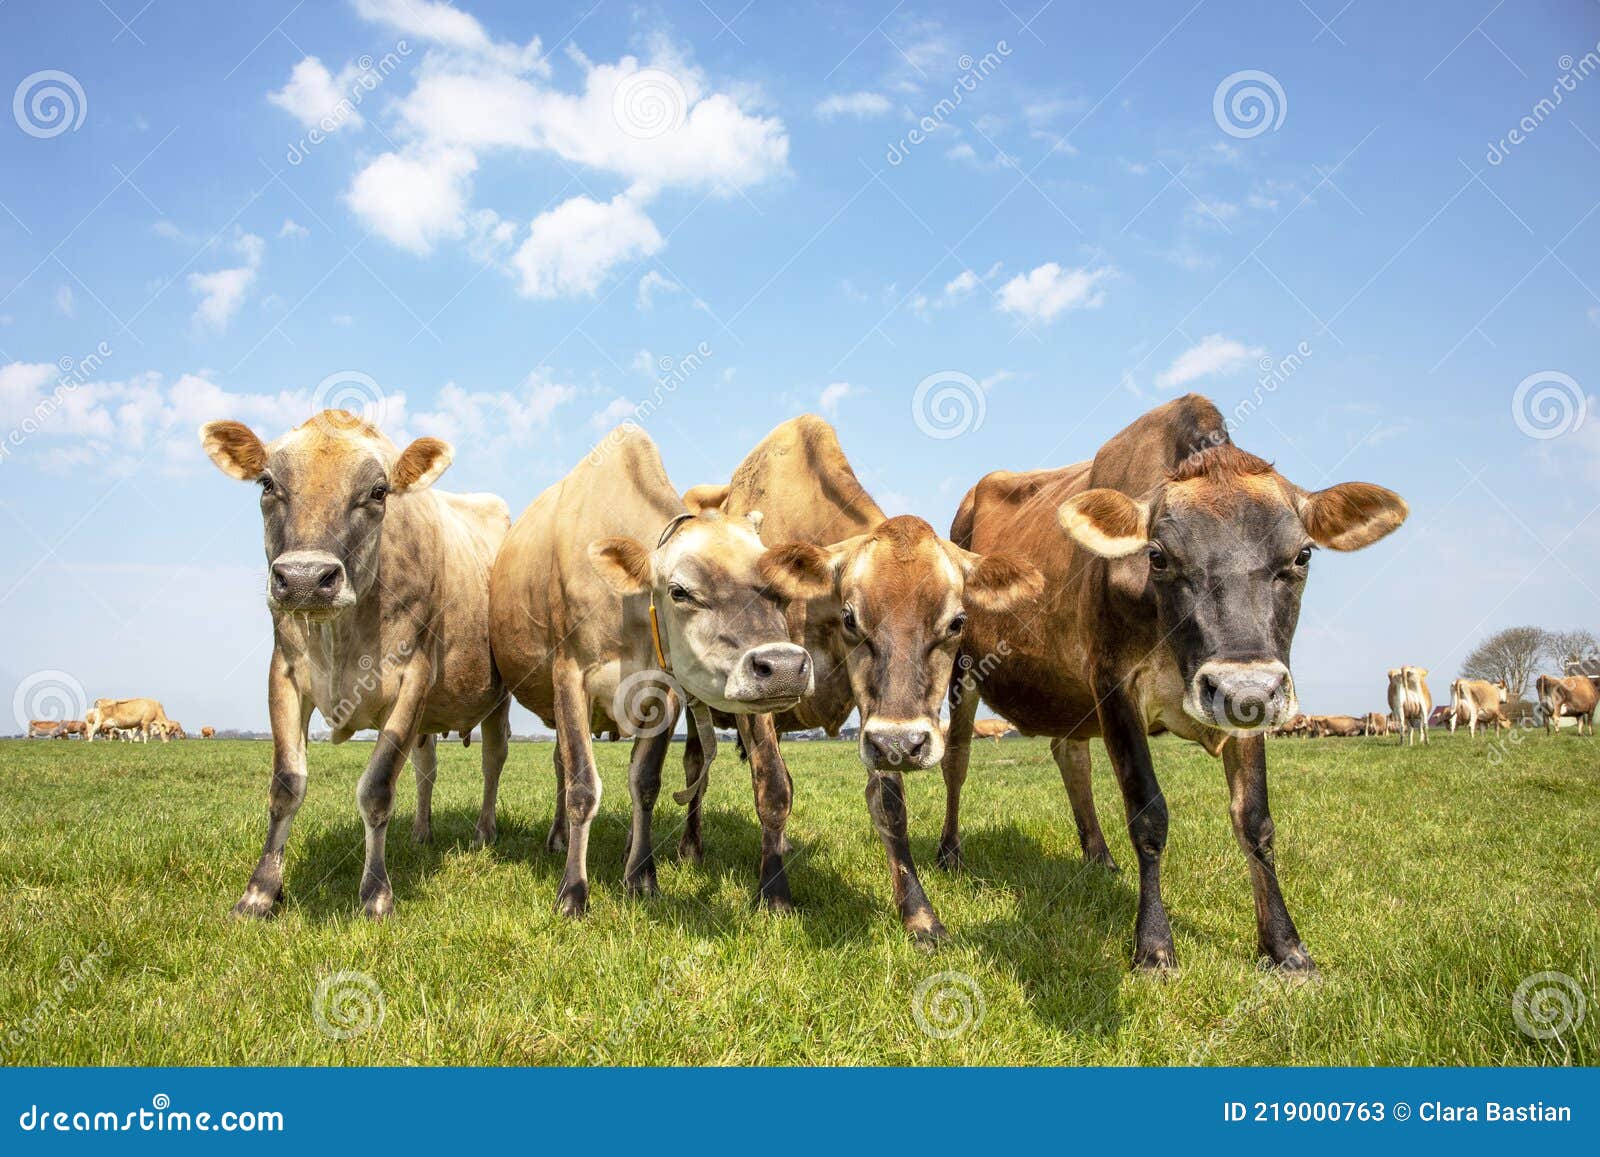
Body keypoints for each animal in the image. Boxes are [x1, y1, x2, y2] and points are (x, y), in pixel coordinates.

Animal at [200, 412, 508, 921]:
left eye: (379, 491)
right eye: (267, 483)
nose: (305, 579)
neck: (340, 638)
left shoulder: (412, 678)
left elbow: (377, 788)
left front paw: (377, 893)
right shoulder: (284, 673)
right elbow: (286, 786)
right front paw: (260, 891)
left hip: (498, 699)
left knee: (492, 760)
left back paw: (484, 832)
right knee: (426, 768)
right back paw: (421, 832)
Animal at [486, 422, 819, 915]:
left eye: (780, 589)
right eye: (679, 591)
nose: (781, 665)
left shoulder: (665, 691)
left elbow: (645, 782)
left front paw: (641, 876)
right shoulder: (569, 675)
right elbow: (582, 785)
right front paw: (573, 892)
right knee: (562, 765)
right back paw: (559, 838)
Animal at [940, 393, 1408, 972]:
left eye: (1302, 555)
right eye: (1158, 556)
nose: (1241, 686)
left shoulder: (1249, 695)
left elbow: (1255, 820)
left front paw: (1285, 947)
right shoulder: (1114, 687)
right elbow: (1148, 814)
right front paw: (1154, 947)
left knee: (1071, 757)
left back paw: (1098, 856)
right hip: (962, 669)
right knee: (957, 760)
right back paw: (950, 853)